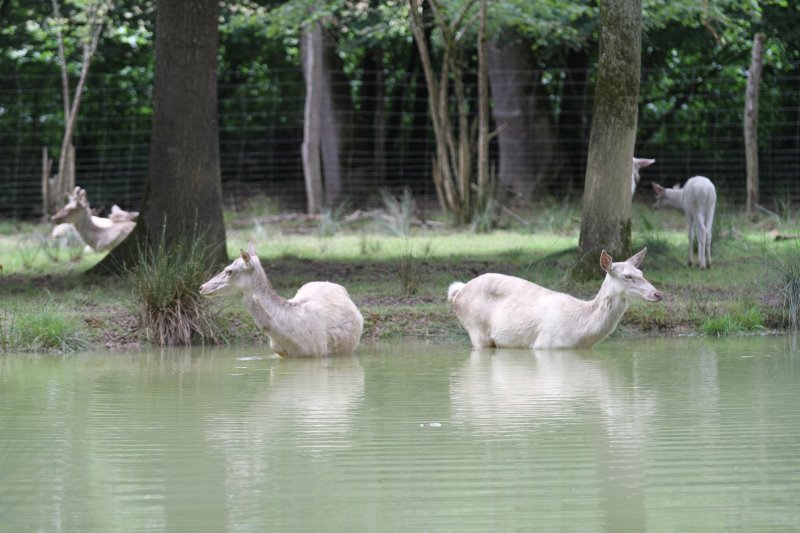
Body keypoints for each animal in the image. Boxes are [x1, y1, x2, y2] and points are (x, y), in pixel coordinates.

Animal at [450, 248, 664, 352]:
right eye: (628, 276)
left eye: (641, 273)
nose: (658, 294)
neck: (581, 334)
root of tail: (458, 292)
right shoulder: (545, 345)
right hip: (477, 331)